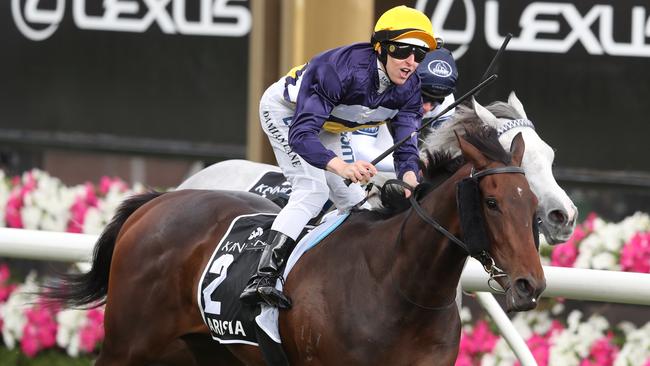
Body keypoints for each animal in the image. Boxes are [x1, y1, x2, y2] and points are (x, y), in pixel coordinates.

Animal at [43, 127, 544, 364]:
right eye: (492, 202)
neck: (399, 287)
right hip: (126, 345)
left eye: (533, 205)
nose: (530, 285)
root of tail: (155, 203)